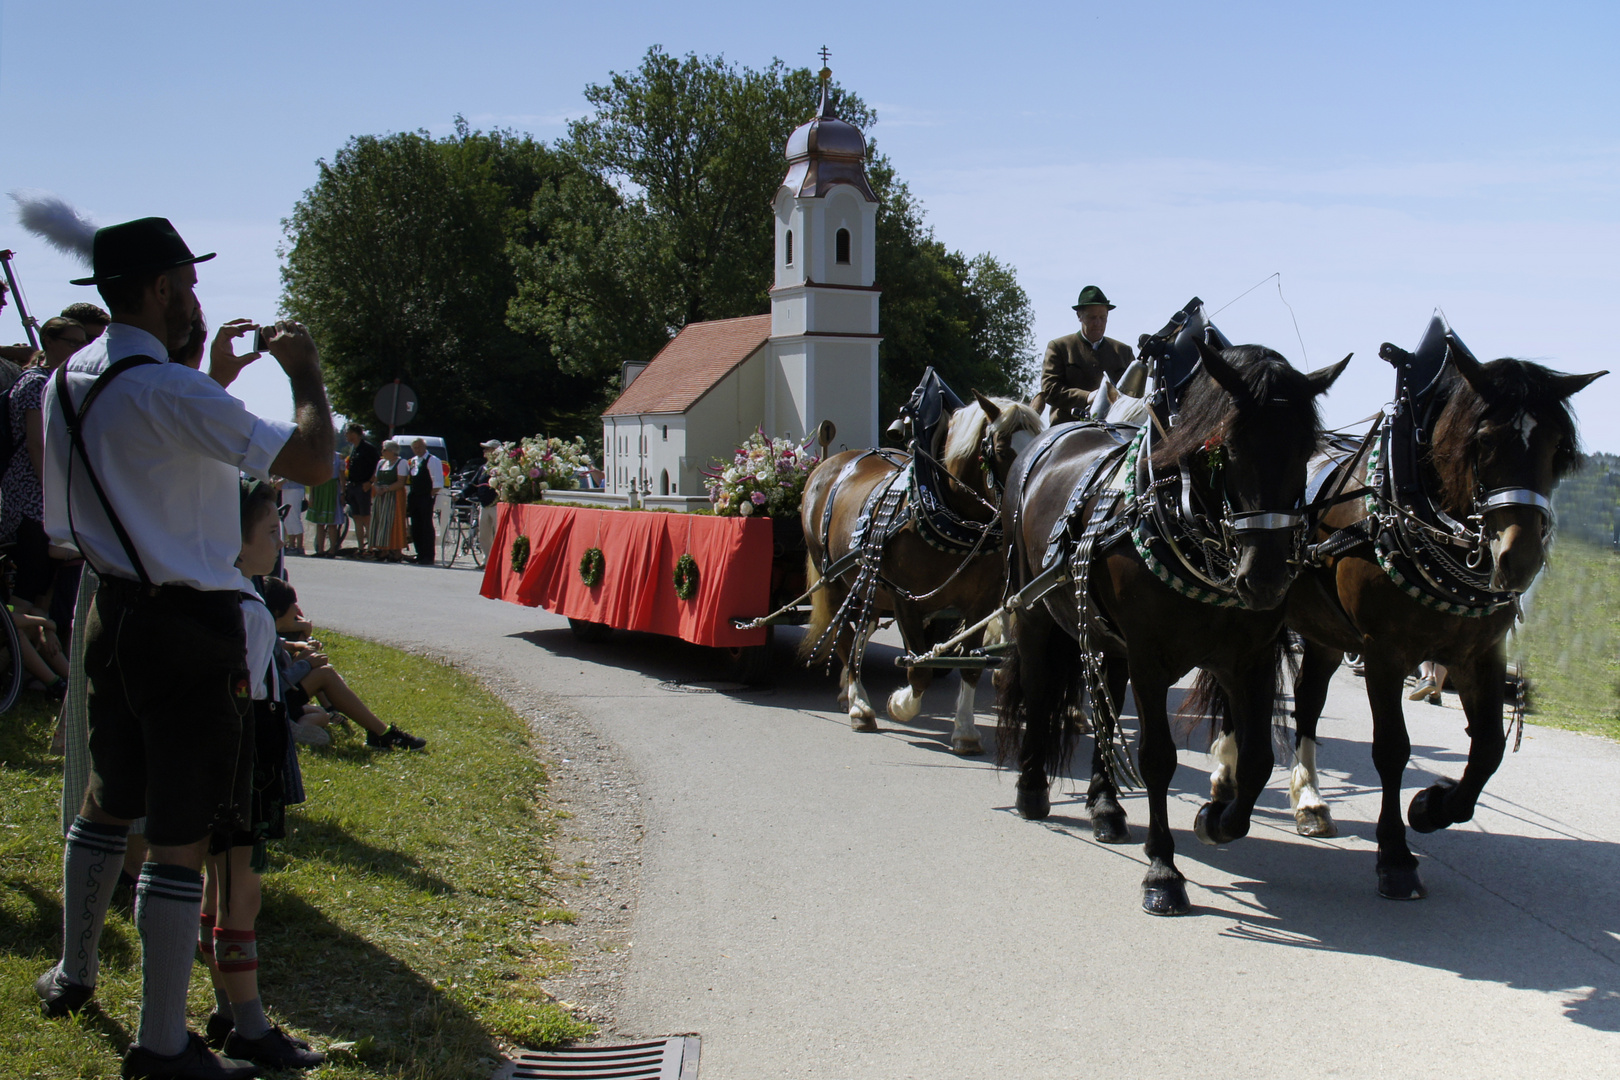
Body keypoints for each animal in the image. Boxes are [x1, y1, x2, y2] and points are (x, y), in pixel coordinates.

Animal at [803, 393, 1043, 757]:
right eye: (1002, 450)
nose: (1027, 509)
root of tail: (832, 462)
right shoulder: (906, 600)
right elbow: (920, 669)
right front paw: (900, 704)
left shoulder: (981, 604)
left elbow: (970, 667)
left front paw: (965, 731)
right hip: (833, 580)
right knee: (845, 638)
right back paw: (860, 707)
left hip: (868, 587)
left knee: (859, 635)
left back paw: (850, 692)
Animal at [991, 341, 1347, 919]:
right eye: (1227, 447)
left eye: (1305, 449)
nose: (1267, 578)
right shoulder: (1150, 658)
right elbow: (1158, 759)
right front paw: (1163, 871)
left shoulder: (1248, 657)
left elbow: (1257, 760)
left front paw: (1216, 820)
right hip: (1033, 612)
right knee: (1041, 692)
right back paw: (1031, 789)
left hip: (1106, 638)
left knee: (1105, 707)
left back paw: (1106, 805)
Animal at [1224, 341, 1607, 900]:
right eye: (1483, 442)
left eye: (1556, 446)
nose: (1520, 559)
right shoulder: (1385, 653)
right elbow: (1392, 749)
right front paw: (1395, 856)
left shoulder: (1478, 655)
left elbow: (1489, 747)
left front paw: (1434, 807)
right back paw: (1228, 770)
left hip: (1325, 632)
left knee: (1309, 700)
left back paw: (1310, 800)